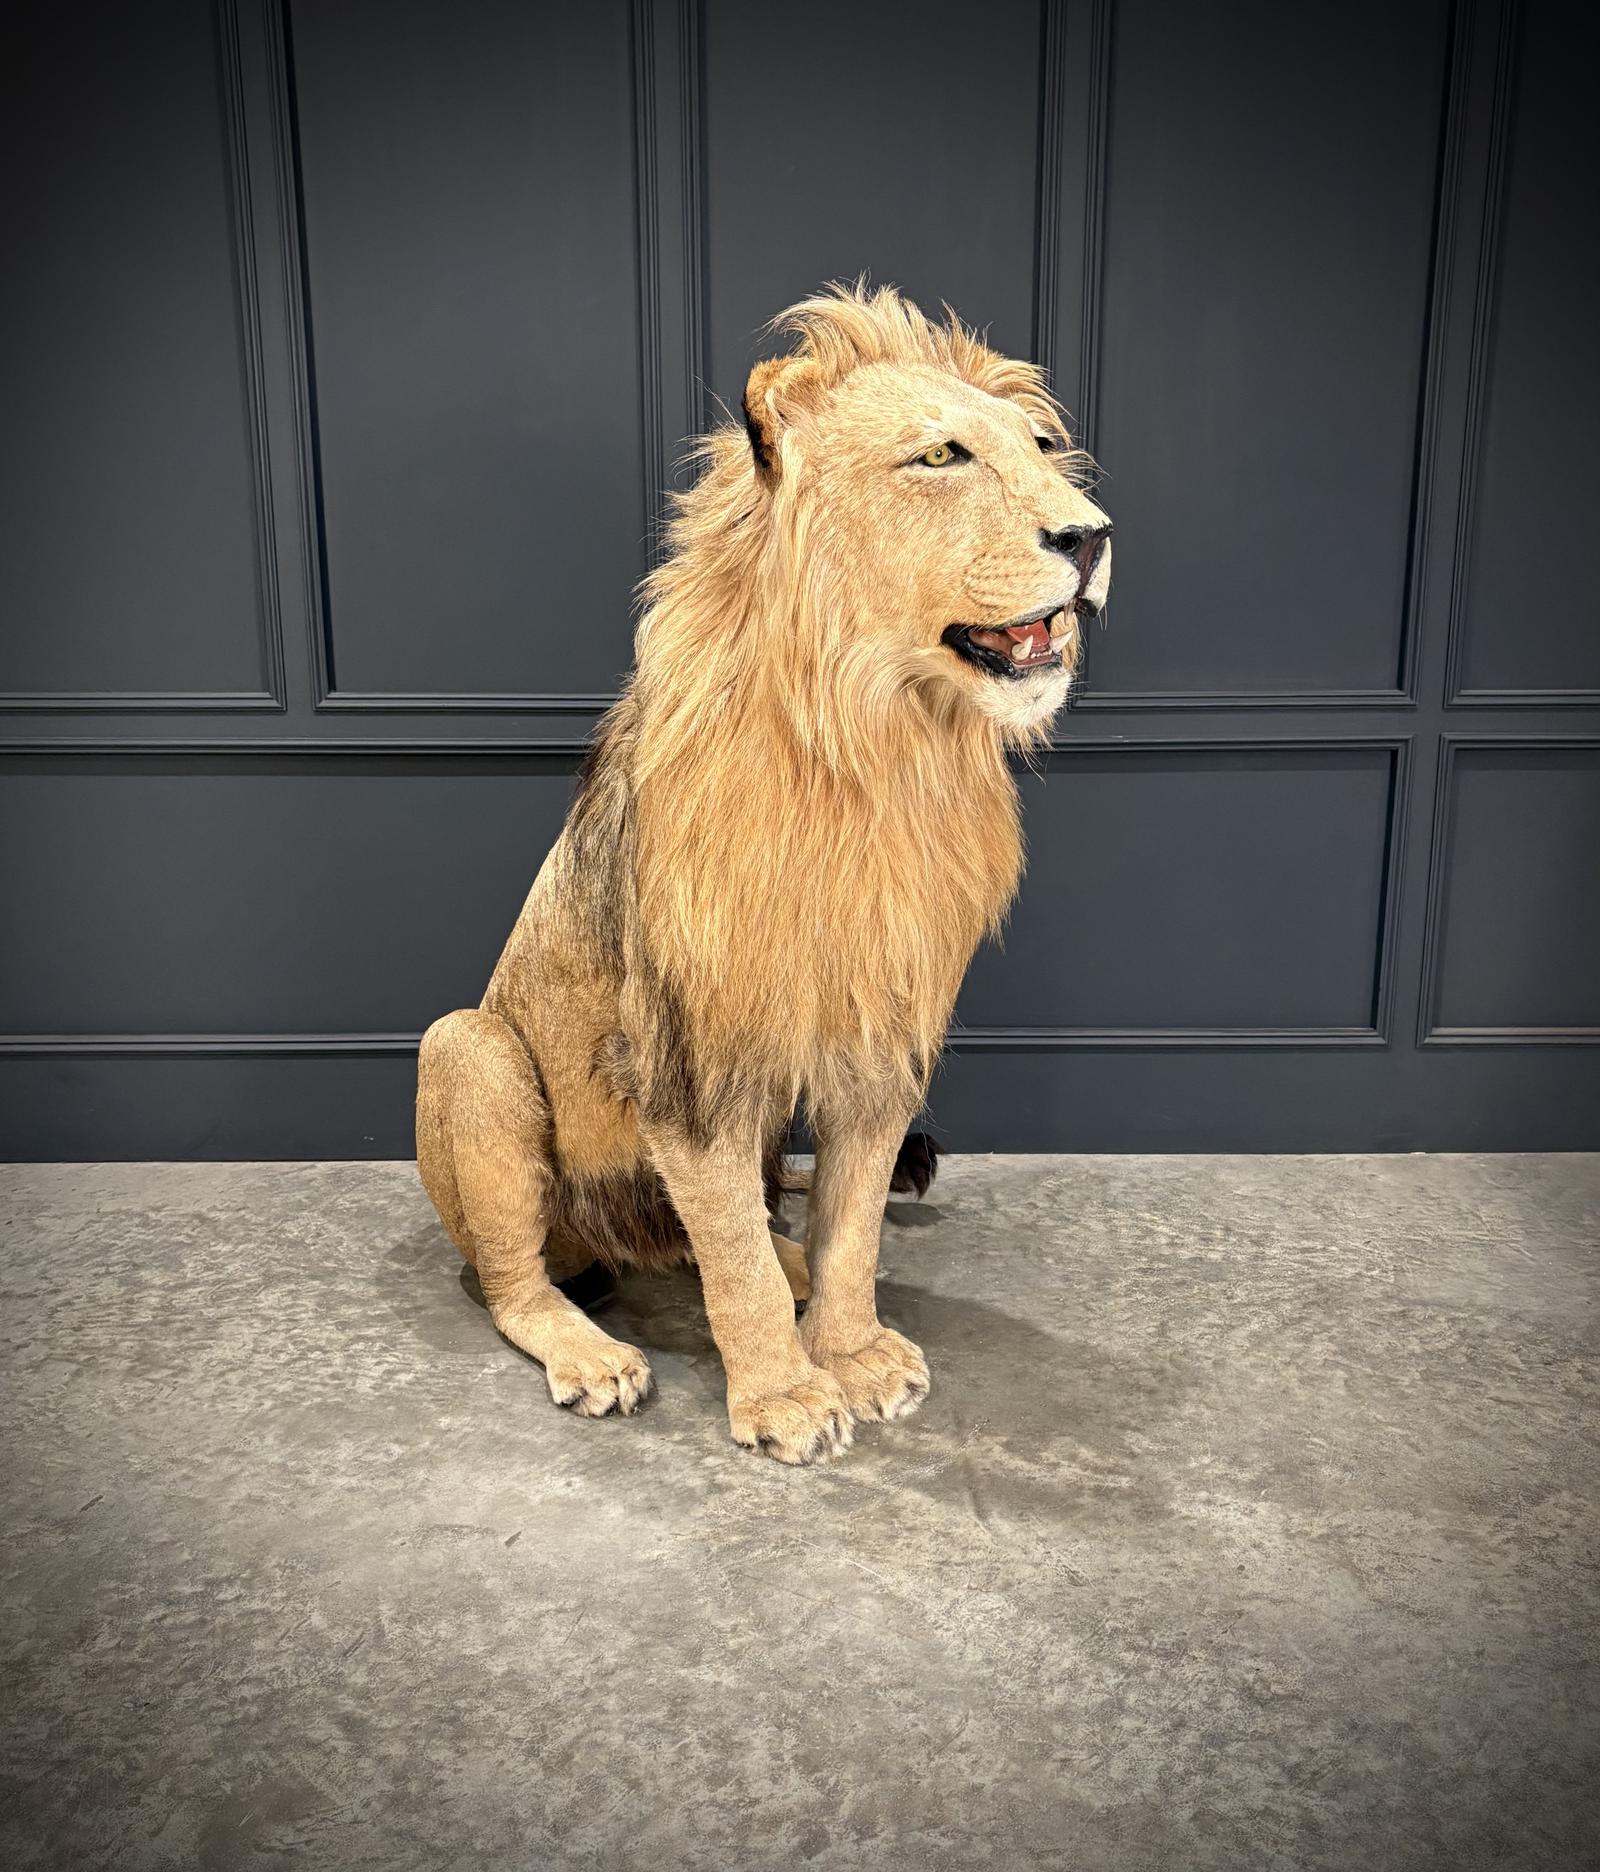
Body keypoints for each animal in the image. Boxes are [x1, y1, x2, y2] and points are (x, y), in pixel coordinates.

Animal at [416, 283, 1112, 1464]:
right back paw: (592, 1353)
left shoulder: (880, 1034)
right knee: (519, 1278)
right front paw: (784, 1394)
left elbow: (851, 1221)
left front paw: (850, 1349)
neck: (876, 755)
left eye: (1043, 448)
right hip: (468, 1051)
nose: (1093, 534)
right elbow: (731, 1253)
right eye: (940, 456)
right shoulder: (689, 1057)